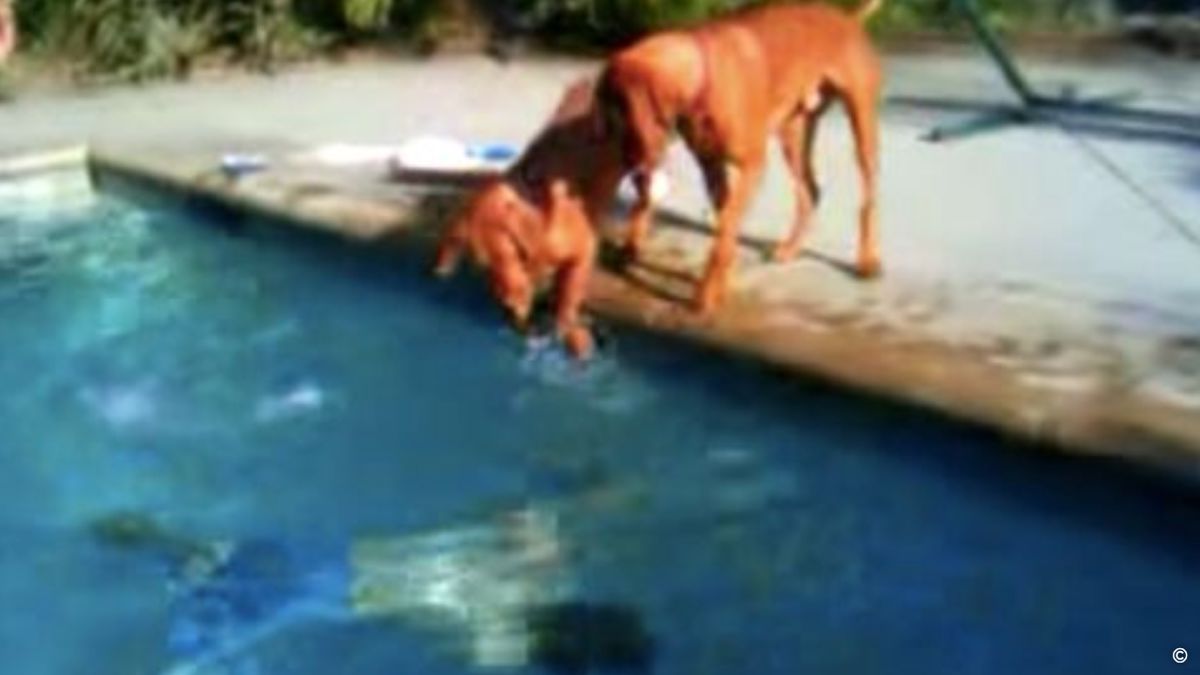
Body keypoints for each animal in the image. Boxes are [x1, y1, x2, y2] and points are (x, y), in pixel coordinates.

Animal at [432, 78, 624, 357]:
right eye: (482, 265)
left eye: (514, 251)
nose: (509, 310)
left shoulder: (583, 251)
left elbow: (568, 298)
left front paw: (570, 332)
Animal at [597, 0, 888, 312]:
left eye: (618, 114)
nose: (632, 168)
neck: (703, 77)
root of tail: (847, 19)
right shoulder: (711, 165)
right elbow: (725, 224)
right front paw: (720, 280)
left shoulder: (752, 166)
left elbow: (726, 227)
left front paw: (707, 293)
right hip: (793, 133)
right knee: (810, 192)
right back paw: (790, 248)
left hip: (861, 123)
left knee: (868, 198)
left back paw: (867, 260)